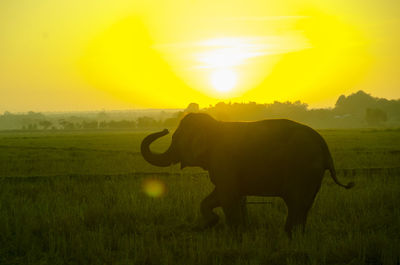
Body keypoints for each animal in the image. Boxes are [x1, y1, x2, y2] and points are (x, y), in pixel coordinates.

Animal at [141, 112, 354, 235]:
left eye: (175, 138)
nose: (164, 128)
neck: (215, 125)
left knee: (296, 202)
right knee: (303, 205)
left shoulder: (224, 160)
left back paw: (290, 235)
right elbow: (223, 196)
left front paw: (234, 234)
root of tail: (325, 148)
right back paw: (294, 234)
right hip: (311, 174)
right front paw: (213, 224)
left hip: (302, 169)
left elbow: (227, 195)